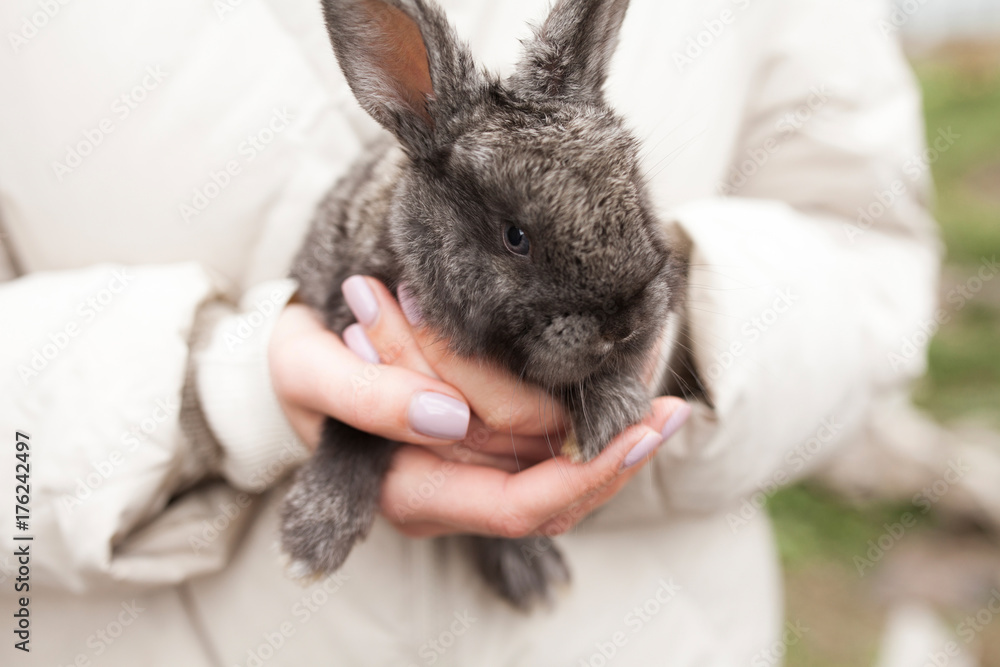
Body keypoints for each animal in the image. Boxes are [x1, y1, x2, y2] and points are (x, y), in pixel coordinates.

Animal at [280, 0, 694, 610]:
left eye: (633, 194)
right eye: (514, 236)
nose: (623, 325)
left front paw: (610, 414)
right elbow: (354, 427)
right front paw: (311, 539)